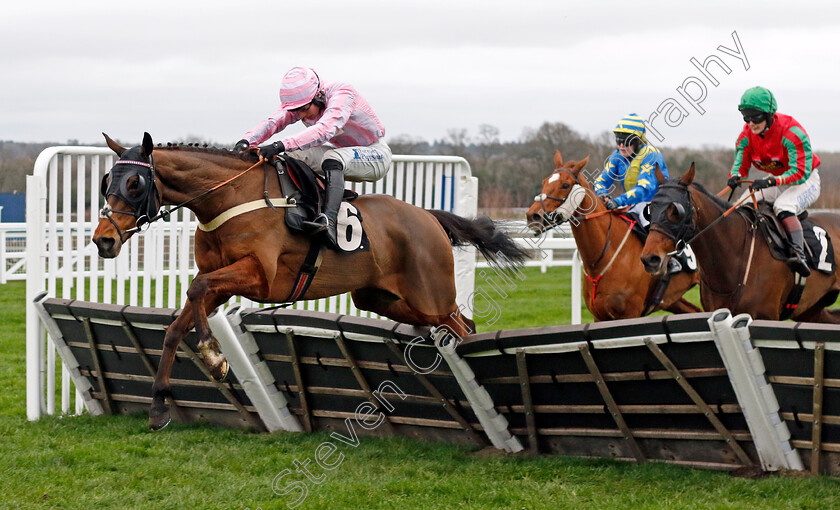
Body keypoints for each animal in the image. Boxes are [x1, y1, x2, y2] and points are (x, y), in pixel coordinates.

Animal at [92, 132, 524, 430]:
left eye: (135, 184)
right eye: (106, 181)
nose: (103, 240)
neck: (230, 198)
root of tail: (429, 217)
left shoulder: (259, 277)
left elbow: (195, 293)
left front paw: (215, 358)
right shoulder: (219, 281)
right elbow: (176, 325)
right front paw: (159, 405)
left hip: (430, 295)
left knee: (462, 326)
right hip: (385, 299)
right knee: (457, 325)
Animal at [524, 149, 704, 320]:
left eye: (565, 185)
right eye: (544, 182)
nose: (533, 216)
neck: (604, 257)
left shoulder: (630, 313)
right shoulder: (599, 316)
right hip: (672, 299)